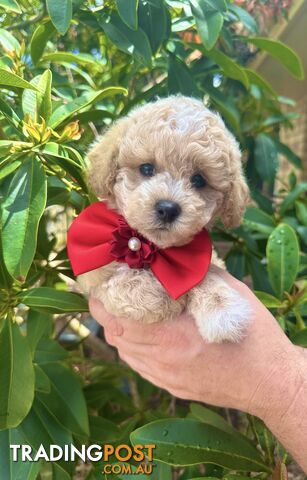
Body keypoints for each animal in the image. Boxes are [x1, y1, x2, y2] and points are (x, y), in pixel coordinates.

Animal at [77, 94, 253, 342]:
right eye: (146, 168)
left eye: (199, 180)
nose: (168, 209)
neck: (152, 248)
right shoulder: (91, 270)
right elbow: (120, 278)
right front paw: (158, 297)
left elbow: (204, 274)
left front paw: (223, 309)